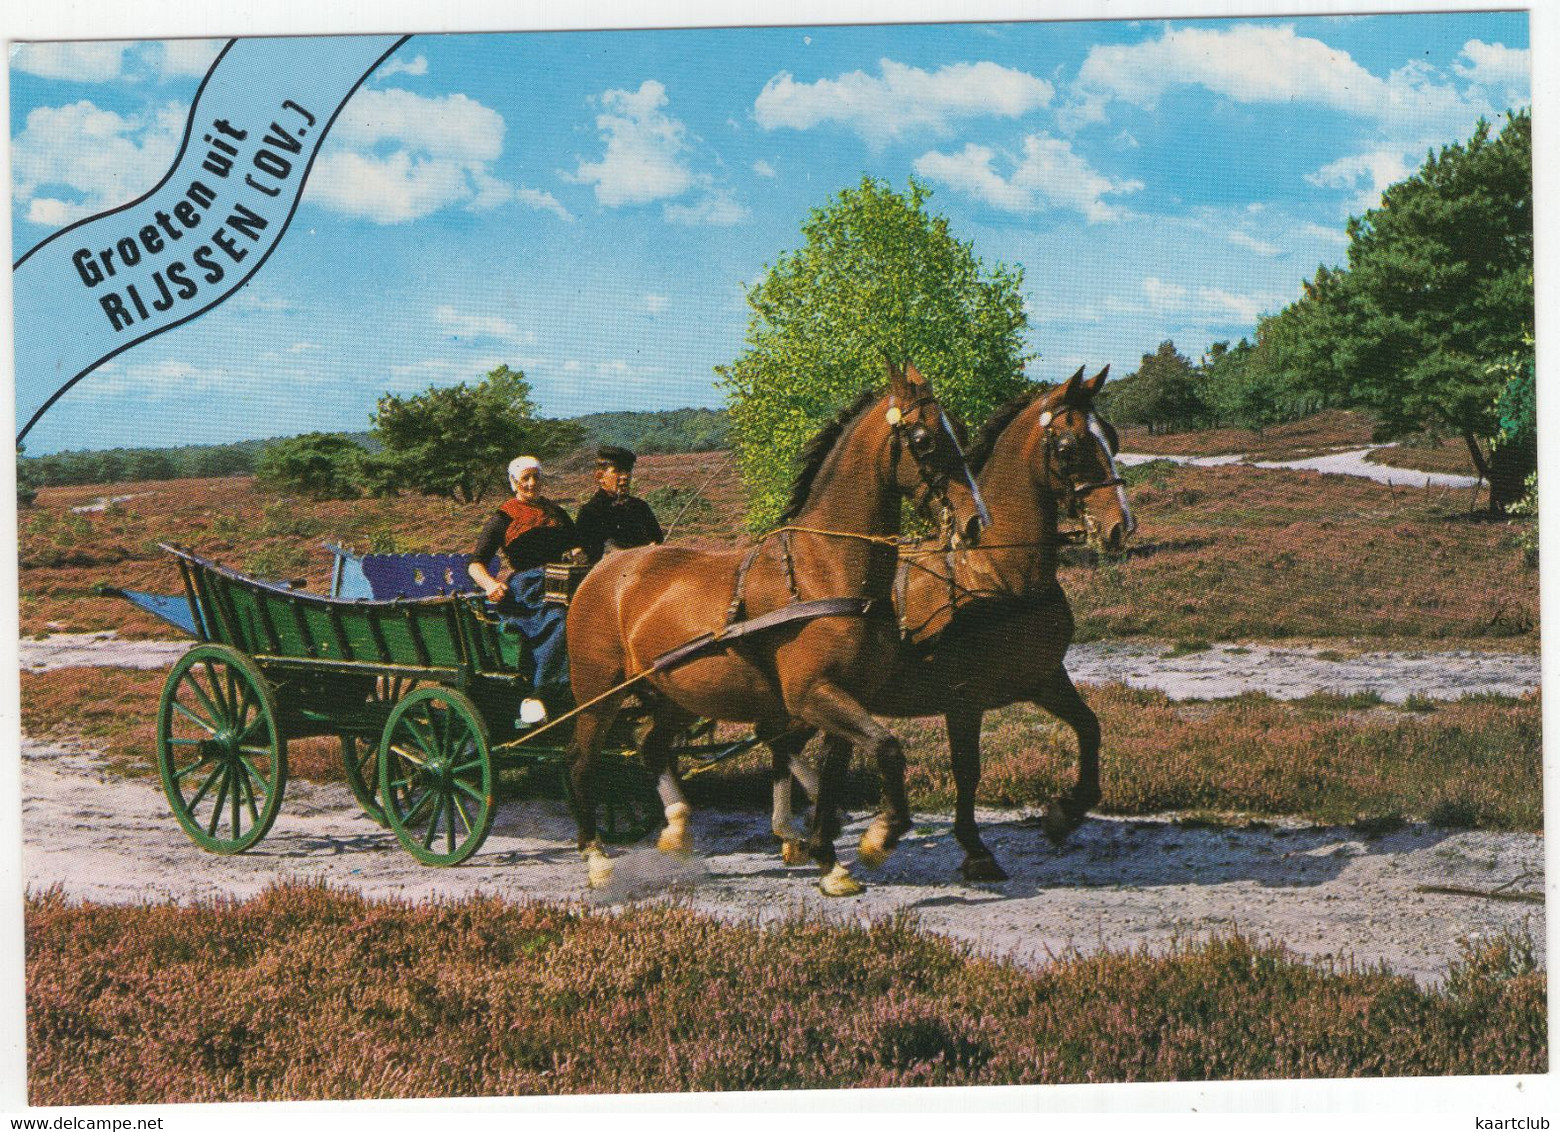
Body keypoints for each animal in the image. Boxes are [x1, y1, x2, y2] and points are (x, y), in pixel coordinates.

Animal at [567, 363, 985, 898]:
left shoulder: (842, 697)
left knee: (650, 744)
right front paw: (878, 838)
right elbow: (887, 749)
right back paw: (597, 857)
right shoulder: (811, 694)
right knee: (582, 760)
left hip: (678, 691)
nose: (973, 523)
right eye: (924, 438)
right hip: (599, 691)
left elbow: (834, 772)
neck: (822, 568)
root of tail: (606, 568)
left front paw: (829, 861)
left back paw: (677, 828)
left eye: (961, 431)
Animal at [770, 367, 1135, 879]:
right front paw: (975, 848)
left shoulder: (1044, 679)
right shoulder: (963, 698)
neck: (995, 572)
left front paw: (1065, 812)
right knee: (781, 745)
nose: (1121, 526)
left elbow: (1089, 728)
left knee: (785, 747)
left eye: (1113, 437)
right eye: (1068, 447)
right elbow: (968, 770)